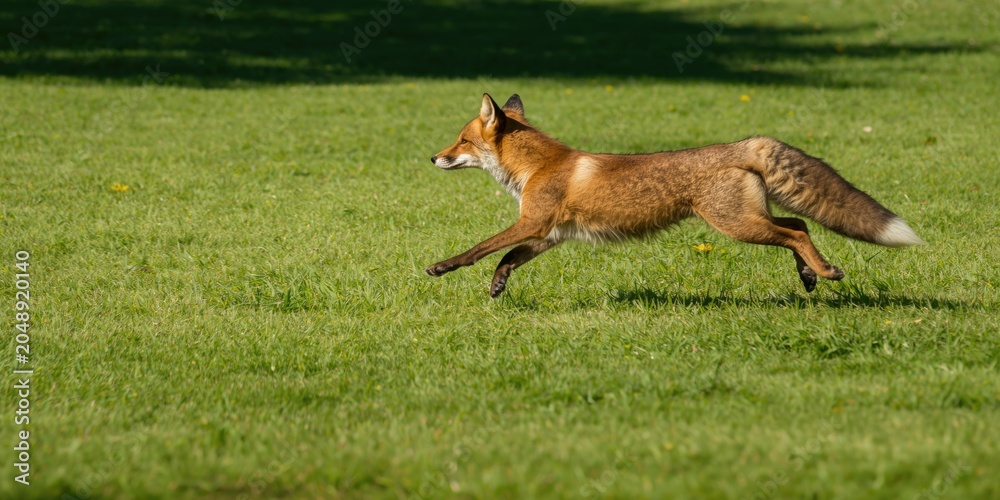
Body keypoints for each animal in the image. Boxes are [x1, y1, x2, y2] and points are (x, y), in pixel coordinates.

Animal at [427, 93, 924, 298]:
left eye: (462, 141)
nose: (433, 157)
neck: (539, 166)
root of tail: (742, 143)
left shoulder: (532, 223)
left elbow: (479, 248)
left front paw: (442, 267)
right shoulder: (550, 234)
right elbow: (507, 258)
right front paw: (498, 286)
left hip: (736, 225)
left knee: (798, 233)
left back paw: (823, 271)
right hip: (749, 220)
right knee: (798, 225)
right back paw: (808, 276)